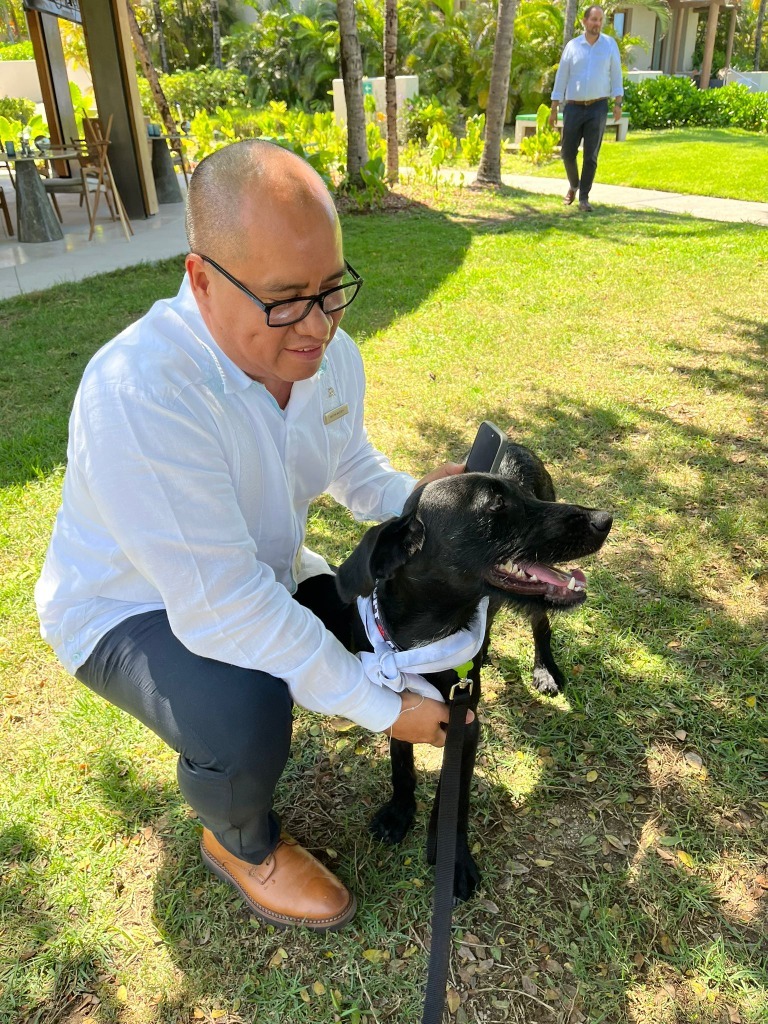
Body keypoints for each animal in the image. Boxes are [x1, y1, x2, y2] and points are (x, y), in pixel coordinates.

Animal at [335, 440, 614, 897]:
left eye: (520, 498)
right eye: (496, 505)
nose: (605, 519)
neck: (426, 640)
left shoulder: (466, 727)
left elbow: (455, 799)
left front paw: (453, 859)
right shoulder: (400, 705)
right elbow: (401, 767)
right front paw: (399, 812)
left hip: (538, 605)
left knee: (541, 628)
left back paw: (544, 670)